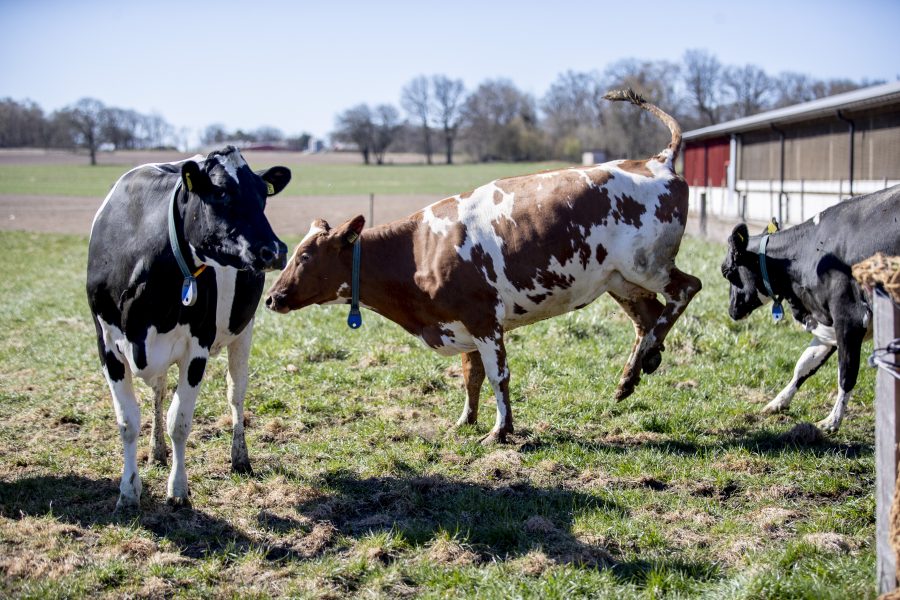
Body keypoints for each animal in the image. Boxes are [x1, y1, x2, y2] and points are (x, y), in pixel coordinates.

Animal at [85, 148, 288, 508]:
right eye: (220, 193)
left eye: (262, 195)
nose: (275, 250)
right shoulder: (106, 344)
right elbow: (128, 421)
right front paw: (128, 491)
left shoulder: (197, 347)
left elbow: (179, 422)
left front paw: (178, 489)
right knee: (159, 391)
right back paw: (156, 452)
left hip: (244, 330)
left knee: (235, 393)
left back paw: (240, 458)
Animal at [268, 90, 704, 446]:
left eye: (304, 257)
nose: (271, 298)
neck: (417, 251)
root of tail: (656, 161)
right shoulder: (462, 325)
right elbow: (471, 376)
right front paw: (465, 421)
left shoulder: (483, 319)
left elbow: (498, 376)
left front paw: (500, 431)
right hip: (619, 280)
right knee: (648, 317)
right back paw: (632, 375)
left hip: (647, 265)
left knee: (686, 289)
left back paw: (648, 355)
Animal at [724, 184, 900, 432]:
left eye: (728, 272)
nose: (732, 311)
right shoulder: (826, 322)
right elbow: (805, 364)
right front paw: (778, 402)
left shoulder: (849, 317)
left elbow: (846, 373)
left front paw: (832, 421)